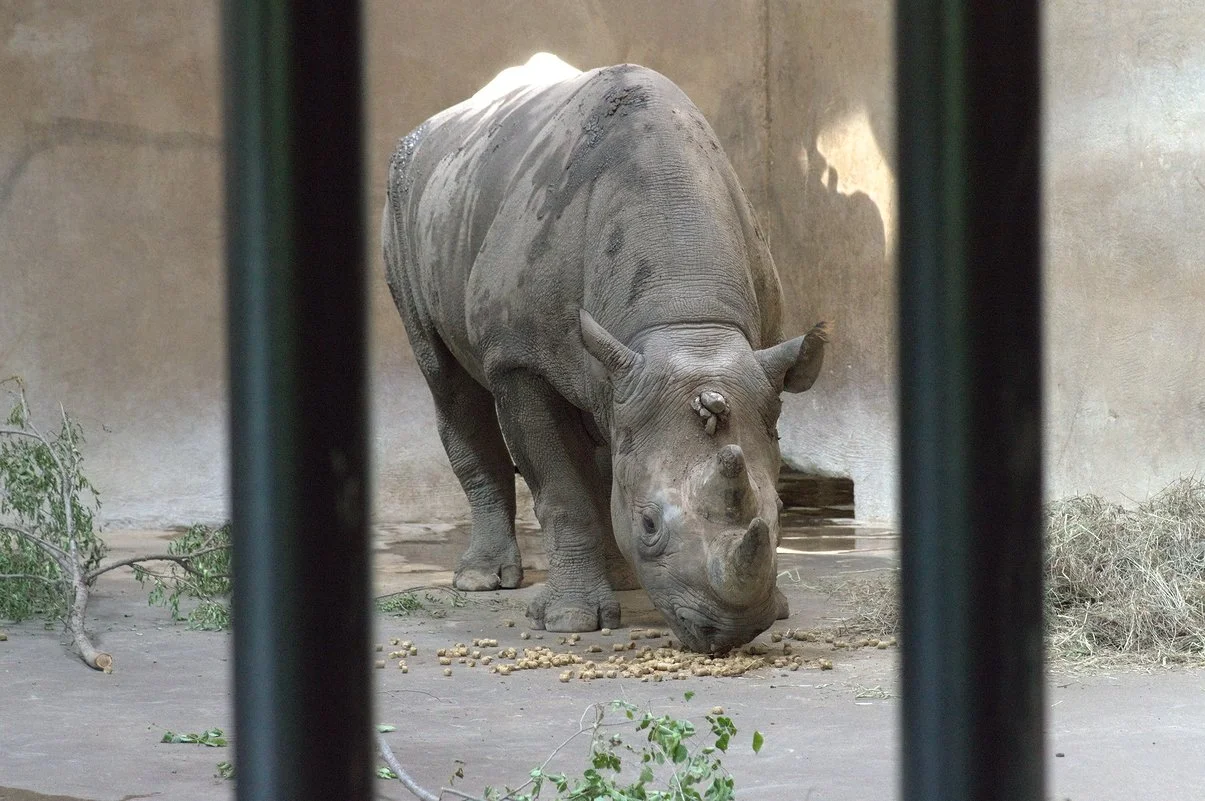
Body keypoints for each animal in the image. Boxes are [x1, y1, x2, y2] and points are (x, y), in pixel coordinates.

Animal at [382, 54, 829, 653]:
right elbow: (558, 488)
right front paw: (570, 621)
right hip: (405, 205)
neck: (684, 322)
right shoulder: (519, 361)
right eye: (650, 525)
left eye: (782, 512)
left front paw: (778, 609)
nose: (731, 631)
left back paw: (621, 580)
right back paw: (481, 581)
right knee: (444, 376)